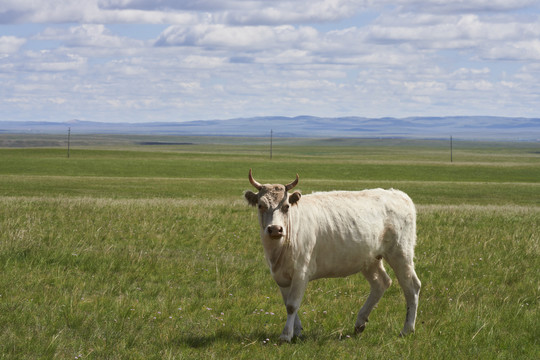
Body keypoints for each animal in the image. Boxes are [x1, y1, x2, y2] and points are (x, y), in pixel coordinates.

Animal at [245, 170, 422, 342]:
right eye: (260, 205)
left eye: (286, 206)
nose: (275, 229)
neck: (278, 251)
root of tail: (398, 194)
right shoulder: (280, 276)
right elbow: (287, 303)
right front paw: (297, 331)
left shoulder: (301, 272)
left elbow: (292, 305)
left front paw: (286, 335)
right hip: (369, 259)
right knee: (381, 282)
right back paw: (360, 323)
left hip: (401, 252)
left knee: (411, 286)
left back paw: (407, 329)